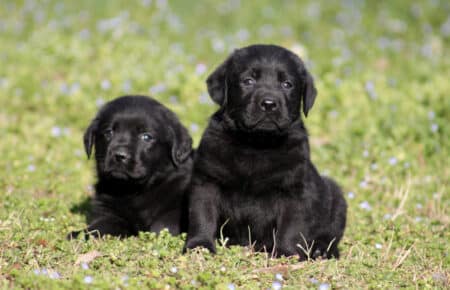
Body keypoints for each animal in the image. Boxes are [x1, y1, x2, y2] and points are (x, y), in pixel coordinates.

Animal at [68, 95, 192, 238]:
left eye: (146, 137)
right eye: (109, 132)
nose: (120, 155)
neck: (134, 190)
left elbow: (162, 225)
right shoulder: (109, 212)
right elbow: (99, 227)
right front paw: (78, 235)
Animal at [185, 44, 346, 260]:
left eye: (287, 84)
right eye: (248, 81)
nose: (269, 104)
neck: (257, 144)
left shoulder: (295, 189)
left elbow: (291, 226)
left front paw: (286, 253)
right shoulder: (207, 181)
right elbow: (202, 215)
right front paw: (199, 246)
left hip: (335, 198)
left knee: (330, 233)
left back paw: (321, 250)